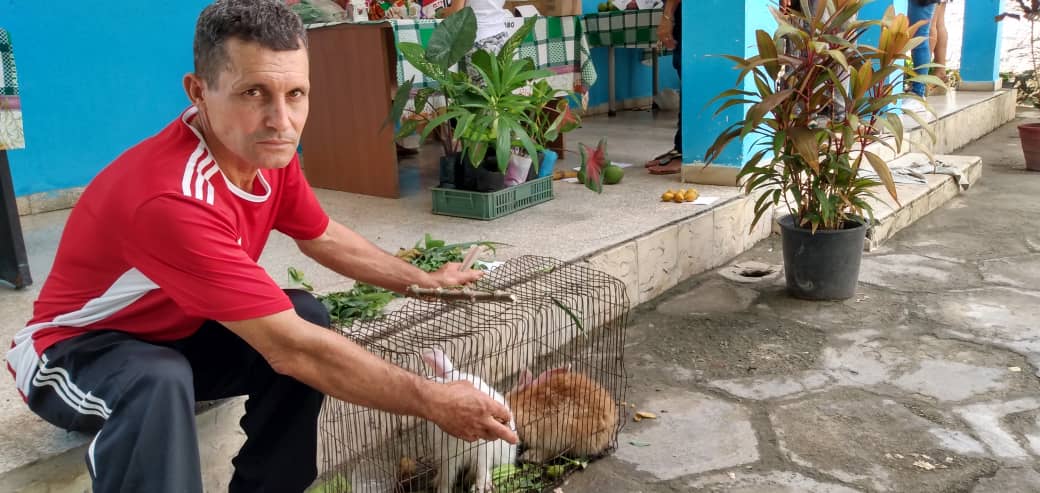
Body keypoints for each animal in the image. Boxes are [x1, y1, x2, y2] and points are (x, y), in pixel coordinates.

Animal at [422, 347, 520, 493]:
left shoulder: (483, 450)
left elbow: (482, 469)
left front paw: (480, 487)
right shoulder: (448, 455)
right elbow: (447, 475)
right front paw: (442, 489)